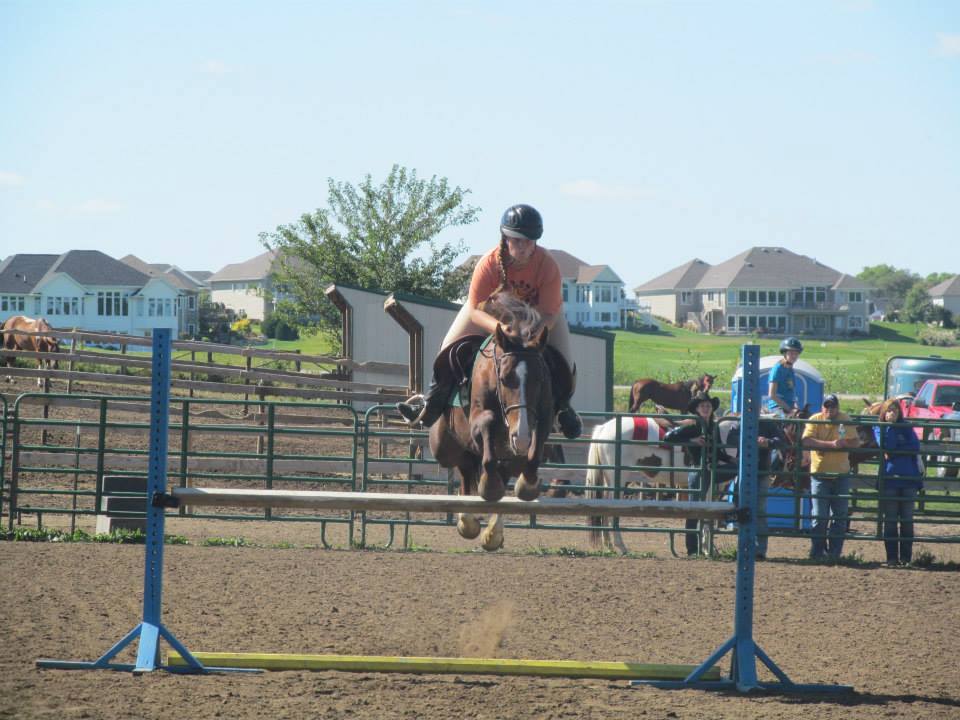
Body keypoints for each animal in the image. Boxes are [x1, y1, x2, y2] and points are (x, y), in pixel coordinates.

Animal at [428, 296, 556, 552]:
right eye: (505, 378)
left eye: (539, 378)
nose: (521, 437)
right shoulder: (480, 419)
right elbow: (487, 423)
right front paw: (489, 488)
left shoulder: (542, 418)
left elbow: (535, 448)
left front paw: (527, 485)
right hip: (446, 448)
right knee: (466, 471)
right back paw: (468, 522)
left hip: (507, 458)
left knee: (497, 471)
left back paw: (493, 533)